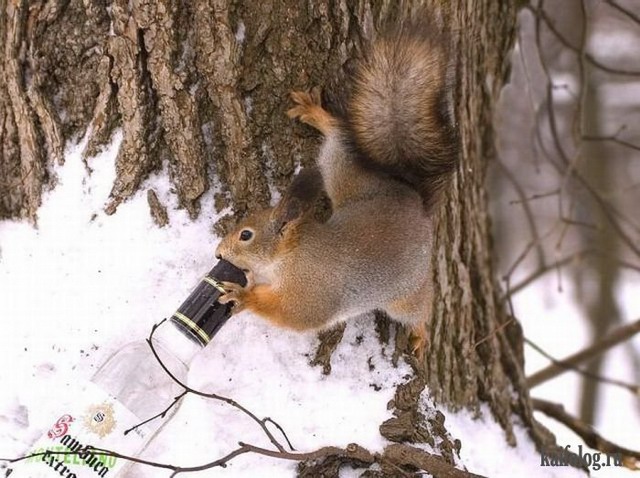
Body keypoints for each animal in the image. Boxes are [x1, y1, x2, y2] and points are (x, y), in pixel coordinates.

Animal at [216, 19, 460, 354]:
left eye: (246, 235)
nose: (218, 254)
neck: (290, 255)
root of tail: (414, 201)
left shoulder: (312, 291)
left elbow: (295, 315)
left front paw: (243, 296)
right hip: (347, 174)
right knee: (339, 139)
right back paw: (316, 114)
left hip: (408, 295)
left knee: (420, 310)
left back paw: (422, 334)